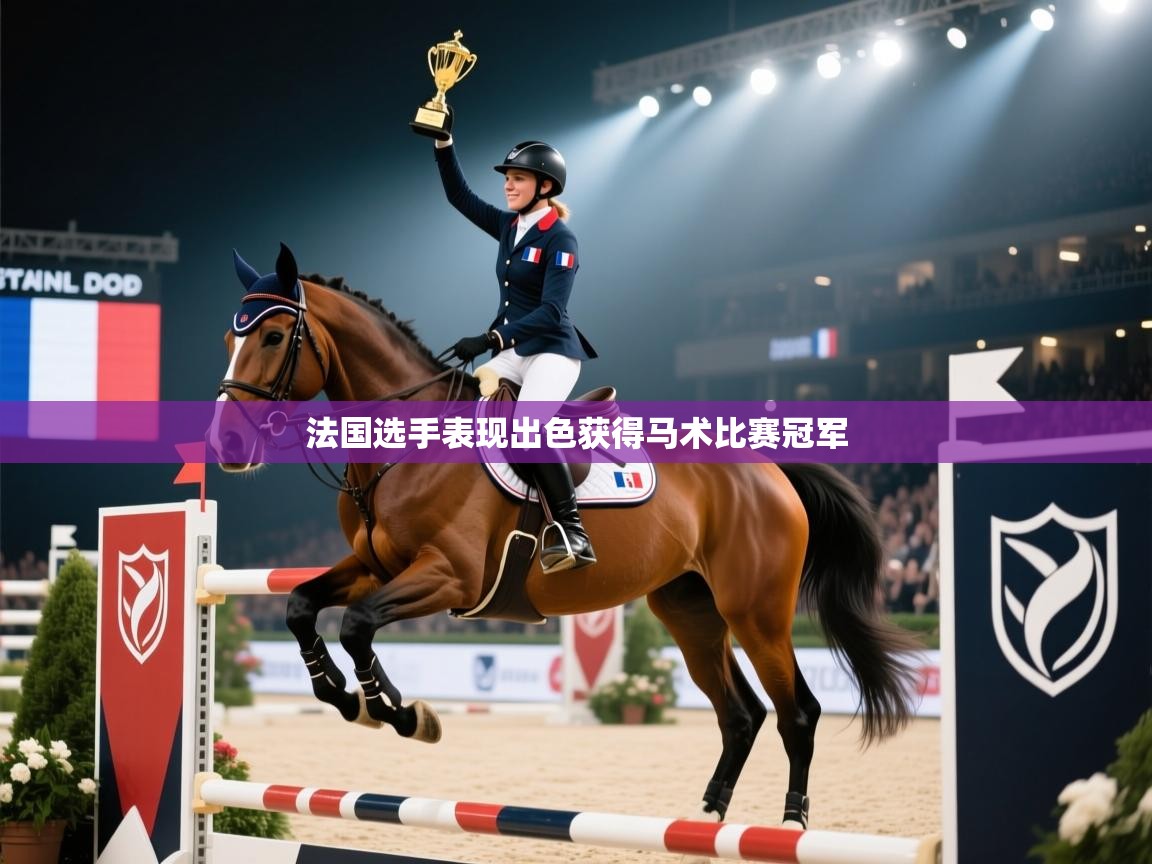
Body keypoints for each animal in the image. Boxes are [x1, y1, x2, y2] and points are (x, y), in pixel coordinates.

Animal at [211, 243, 922, 830]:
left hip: (757, 611)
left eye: (273, 335)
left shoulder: (451, 576)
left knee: (797, 711)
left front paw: (402, 713)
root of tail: (772, 470)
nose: (226, 445)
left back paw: (790, 822)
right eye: (229, 337)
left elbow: (357, 625)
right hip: (690, 609)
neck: (403, 446)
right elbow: (301, 606)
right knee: (739, 712)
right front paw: (341, 694)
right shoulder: (375, 566)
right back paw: (706, 817)